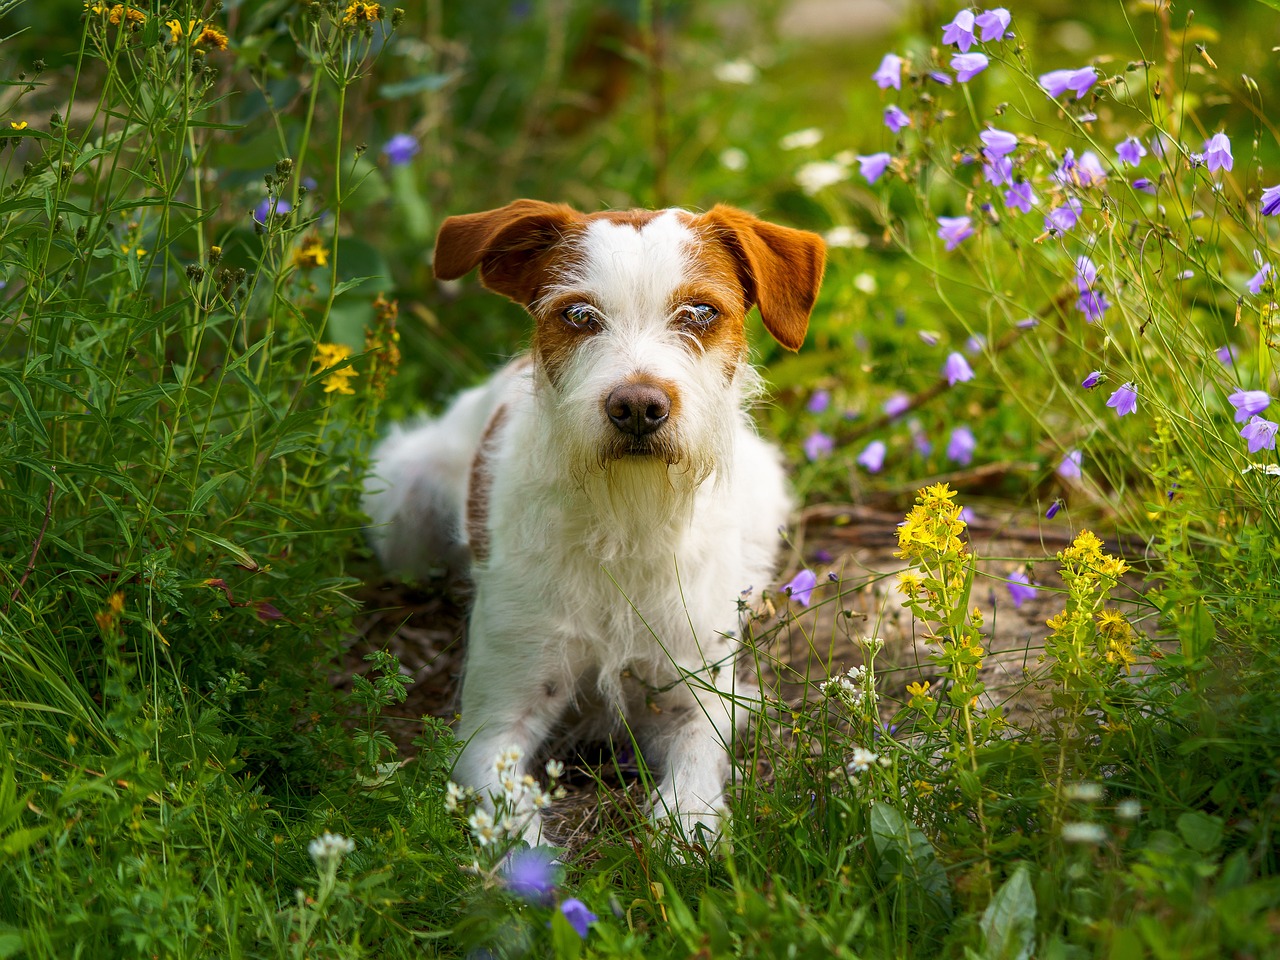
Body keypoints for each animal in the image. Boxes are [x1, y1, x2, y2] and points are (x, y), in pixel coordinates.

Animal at [366, 199, 824, 844]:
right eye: (579, 315)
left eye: (701, 312)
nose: (637, 406)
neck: (627, 519)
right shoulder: (495, 724)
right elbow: (518, 830)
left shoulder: (697, 702)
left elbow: (692, 786)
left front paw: (683, 839)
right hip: (402, 507)